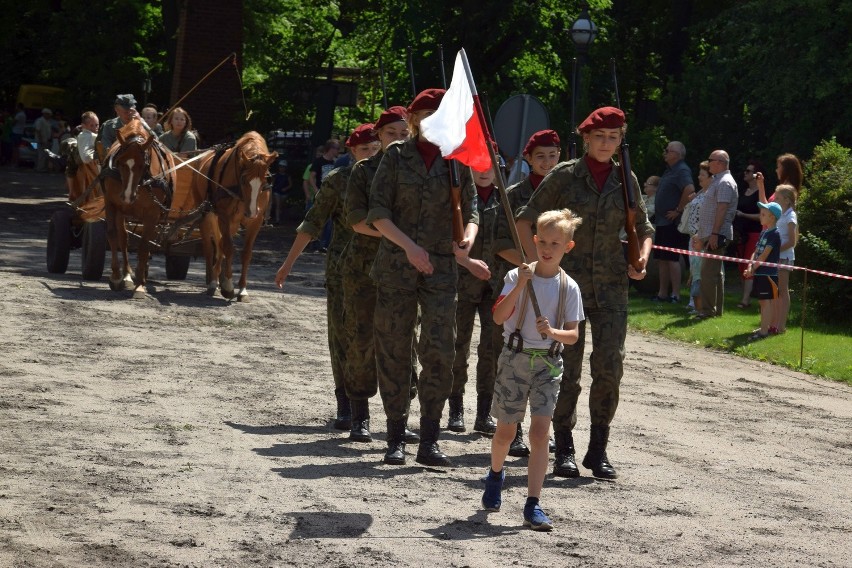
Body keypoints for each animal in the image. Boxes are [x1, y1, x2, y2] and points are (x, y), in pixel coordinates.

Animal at [100, 118, 178, 300]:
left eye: (144, 165)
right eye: (120, 162)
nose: (128, 196)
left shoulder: (152, 212)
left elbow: (144, 244)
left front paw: (140, 284)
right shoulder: (111, 203)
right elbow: (113, 235)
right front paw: (116, 277)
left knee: (147, 241)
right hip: (121, 211)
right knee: (124, 238)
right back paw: (127, 275)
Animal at [196, 132, 280, 302]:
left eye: (265, 180)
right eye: (244, 179)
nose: (251, 211)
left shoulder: (256, 221)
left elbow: (246, 253)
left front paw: (242, 289)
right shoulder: (224, 215)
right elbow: (228, 247)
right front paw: (228, 286)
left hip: (233, 222)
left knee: (220, 244)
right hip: (207, 215)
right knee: (210, 248)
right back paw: (212, 282)